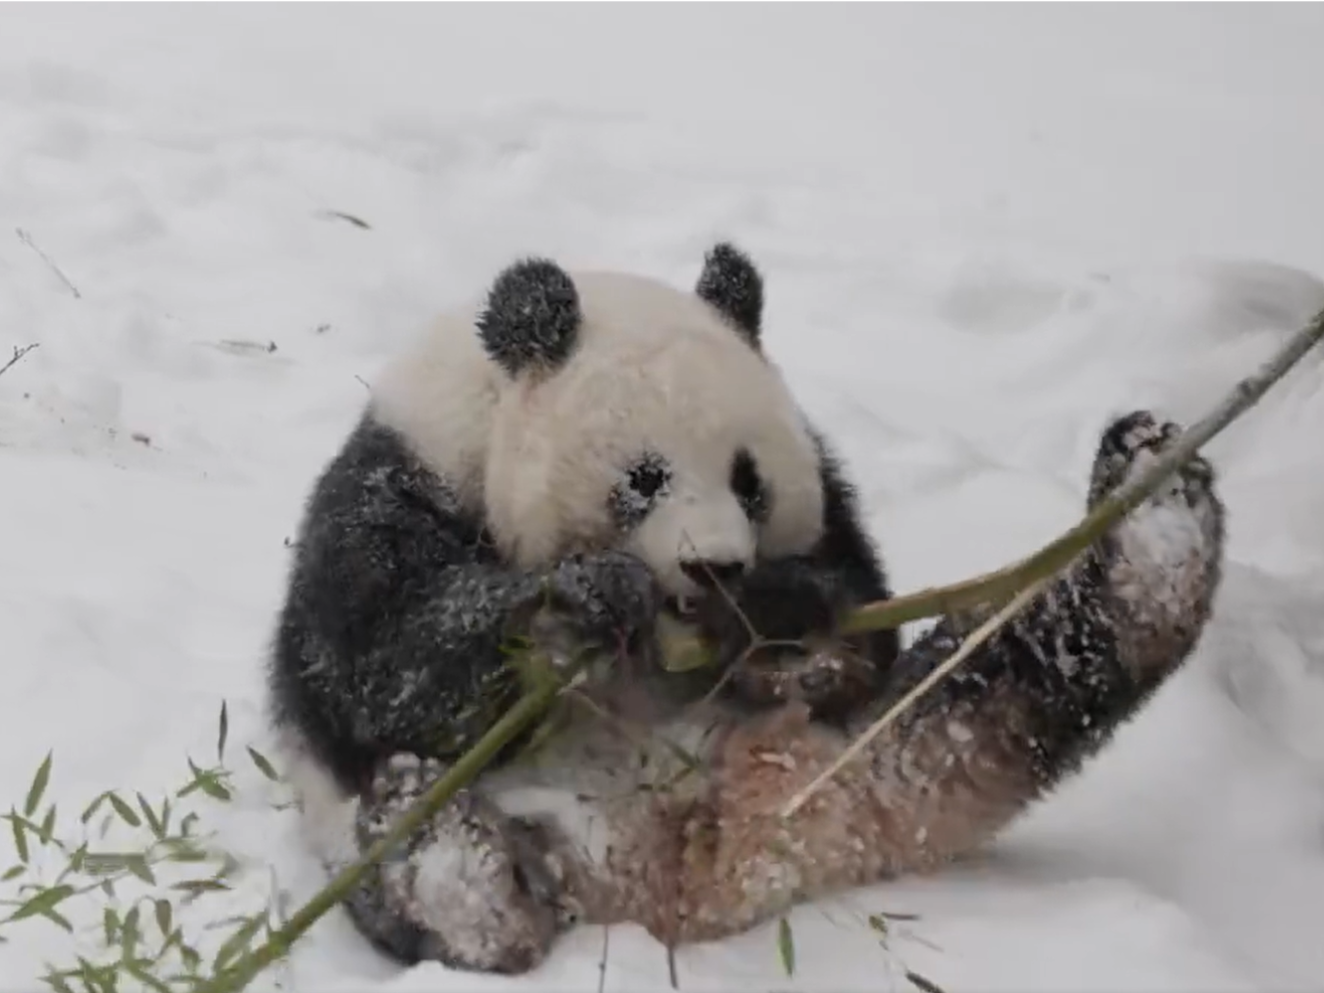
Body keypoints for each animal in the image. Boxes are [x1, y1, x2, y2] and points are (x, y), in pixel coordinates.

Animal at [266, 242, 1226, 974]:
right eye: (643, 477)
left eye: (749, 479)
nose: (715, 567)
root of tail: (719, 864)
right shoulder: (398, 482)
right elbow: (382, 671)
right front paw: (577, 604)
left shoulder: (829, 500)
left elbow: (860, 621)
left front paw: (770, 616)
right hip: (504, 836)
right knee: (439, 894)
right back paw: (441, 855)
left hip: (878, 747)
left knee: (1014, 671)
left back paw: (1153, 506)